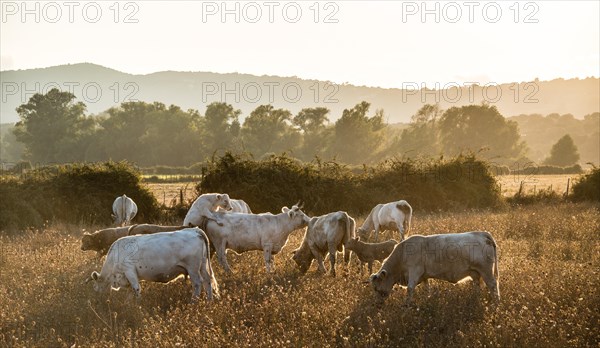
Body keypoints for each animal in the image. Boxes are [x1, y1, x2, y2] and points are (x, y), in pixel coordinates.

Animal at [88, 227, 219, 300]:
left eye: (95, 287)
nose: (98, 301)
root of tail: (194, 230)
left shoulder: (129, 271)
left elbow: (136, 289)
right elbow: (131, 292)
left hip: (193, 269)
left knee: (198, 283)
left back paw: (193, 302)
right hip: (203, 266)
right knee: (208, 281)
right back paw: (209, 300)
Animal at [368, 232, 500, 304]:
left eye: (376, 288)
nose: (377, 304)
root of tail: (482, 233)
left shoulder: (414, 271)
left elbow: (410, 289)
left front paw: (406, 305)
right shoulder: (424, 276)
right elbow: (427, 289)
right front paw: (428, 299)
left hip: (486, 271)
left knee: (493, 285)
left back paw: (496, 303)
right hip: (475, 272)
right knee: (477, 285)